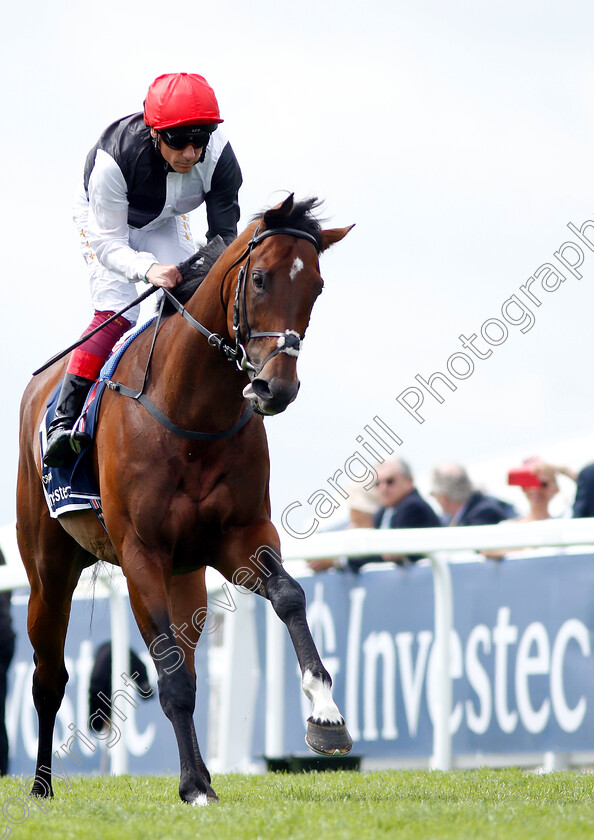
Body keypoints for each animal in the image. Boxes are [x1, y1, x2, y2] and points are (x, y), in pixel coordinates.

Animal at [17, 194, 352, 804]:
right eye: (260, 278)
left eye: (316, 287)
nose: (276, 388)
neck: (193, 415)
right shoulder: (140, 553)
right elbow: (169, 677)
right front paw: (195, 786)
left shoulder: (239, 537)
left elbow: (289, 596)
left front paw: (325, 711)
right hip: (48, 570)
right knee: (49, 677)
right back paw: (41, 787)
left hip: (186, 575)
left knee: (191, 662)